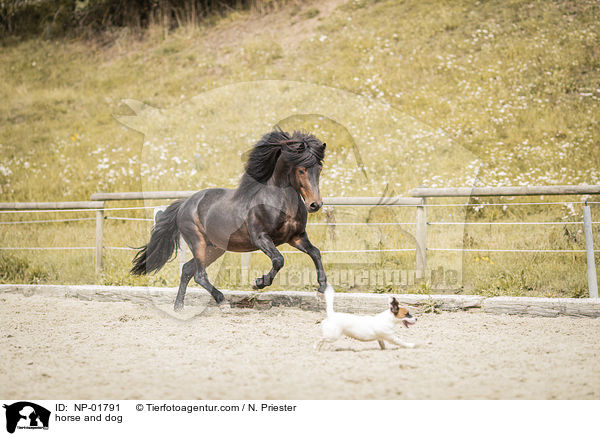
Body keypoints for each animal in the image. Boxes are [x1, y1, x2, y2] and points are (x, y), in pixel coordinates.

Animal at [131, 129, 328, 310]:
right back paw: (222, 301)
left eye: (319, 169)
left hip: (214, 248)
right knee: (199, 275)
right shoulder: (261, 238)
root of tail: (184, 204)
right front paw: (258, 282)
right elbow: (279, 260)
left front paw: (321, 290)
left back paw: (179, 306)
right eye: (301, 170)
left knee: (187, 269)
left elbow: (315, 253)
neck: (280, 201)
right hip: (197, 242)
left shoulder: (296, 237)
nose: (315, 204)